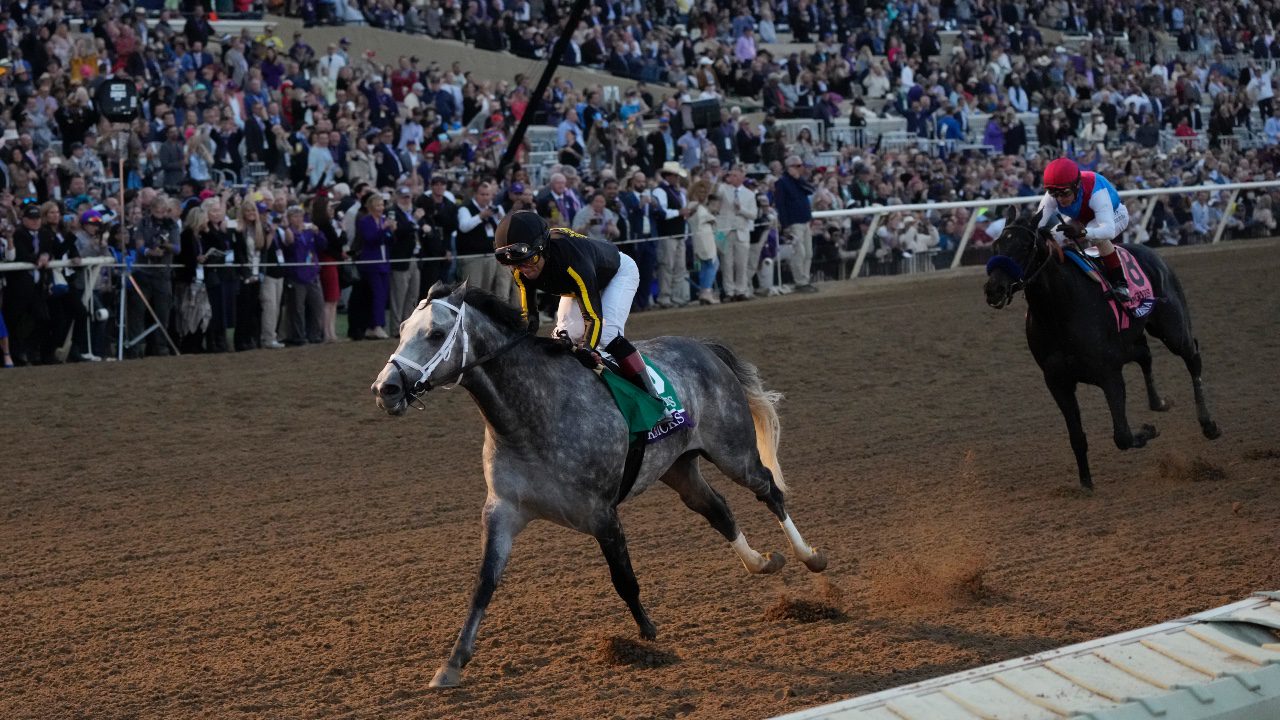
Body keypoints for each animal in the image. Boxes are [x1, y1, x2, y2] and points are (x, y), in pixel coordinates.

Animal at [370, 282, 827, 687]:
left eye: (435, 333)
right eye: (402, 329)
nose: (385, 389)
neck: (533, 413)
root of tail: (704, 348)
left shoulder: (601, 514)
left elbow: (624, 578)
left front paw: (648, 638)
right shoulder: (503, 510)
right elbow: (483, 584)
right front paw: (452, 664)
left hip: (733, 450)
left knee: (768, 490)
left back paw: (809, 556)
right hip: (679, 467)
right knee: (717, 508)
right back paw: (761, 562)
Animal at [982, 207, 1221, 489]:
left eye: (1023, 246)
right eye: (997, 245)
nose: (993, 289)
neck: (1058, 309)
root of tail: (1151, 252)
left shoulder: (1109, 374)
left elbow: (1123, 436)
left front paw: (1148, 431)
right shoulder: (1057, 381)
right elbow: (1077, 436)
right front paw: (1086, 482)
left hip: (1172, 329)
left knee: (1192, 357)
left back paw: (1208, 424)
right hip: (1130, 341)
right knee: (1145, 354)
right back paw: (1159, 402)